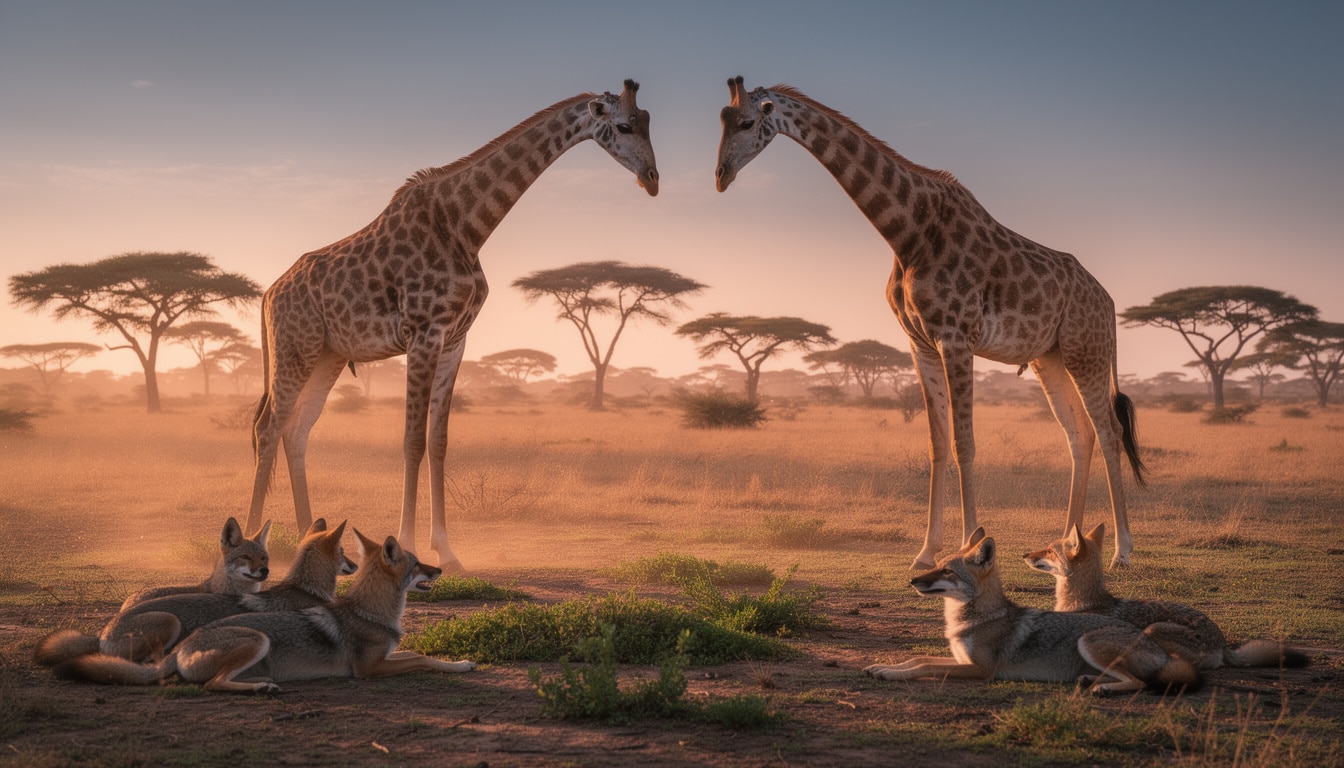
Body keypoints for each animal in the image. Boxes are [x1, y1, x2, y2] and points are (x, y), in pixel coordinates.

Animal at [246, 80, 658, 570]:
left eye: (649, 121)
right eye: (624, 126)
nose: (652, 178)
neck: (466, 227)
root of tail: (269, 293)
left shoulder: (456, 340)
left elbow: (439, 441)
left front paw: (447, 550)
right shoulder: (424, 333)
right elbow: (412, 440)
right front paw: (406, 545)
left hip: (327, 355)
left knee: (297, 430)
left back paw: (310, 537)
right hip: (295, 347)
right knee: (269, 427)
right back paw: (251, 538)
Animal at [715, 77, 1145, 569]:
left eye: (747, 122)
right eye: (721, 120)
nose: (721, 175)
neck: (907, 232)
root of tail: (1109, 302)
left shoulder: (956, 338)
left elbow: (964, 443)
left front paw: (971, 543)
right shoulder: (918, 343)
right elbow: (937, 444)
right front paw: (925, 551)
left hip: (1086, 351)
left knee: (1110, 433)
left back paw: (1122, 551)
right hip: (1049, 358)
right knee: (1080, 434)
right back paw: (1069, 543)